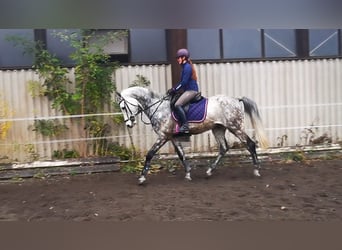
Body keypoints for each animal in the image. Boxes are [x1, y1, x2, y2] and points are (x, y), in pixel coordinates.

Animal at [117, 87, 270, 185]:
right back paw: (209, 171)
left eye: (123, 107)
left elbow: (149, 154)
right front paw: (188, 173)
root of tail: (237, 100)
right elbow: (181, 155)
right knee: (223, 148)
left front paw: (142, 178)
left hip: (235, 127)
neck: (158, 108)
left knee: (250, 144)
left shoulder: (163, 136)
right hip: (218, 129)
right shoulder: (172, 137)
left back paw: (256, 170)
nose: (129, 124)